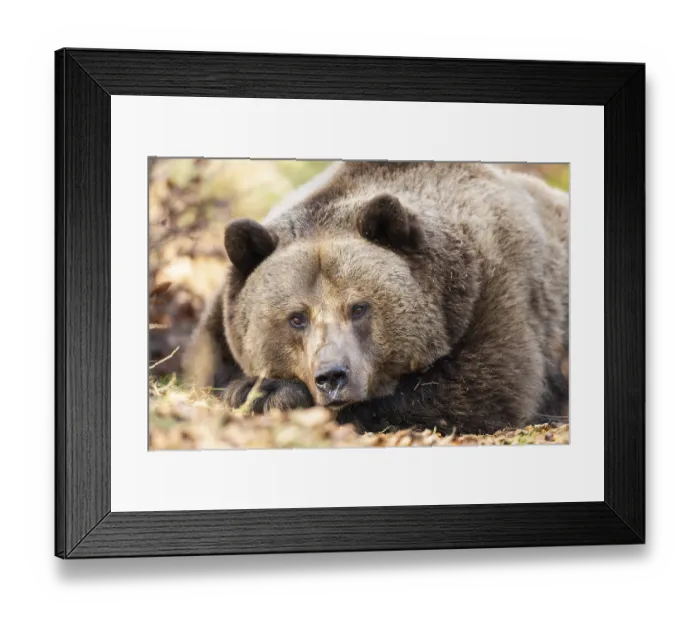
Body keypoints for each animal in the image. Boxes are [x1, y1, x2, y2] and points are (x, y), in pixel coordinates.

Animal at [183, 161, 569, 435]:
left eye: (358, 308)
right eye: (297, 317)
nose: (332, 376)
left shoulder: (488, 293)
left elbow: (484, 387)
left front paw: (274, 393)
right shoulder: (224, 316)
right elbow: (209, 365)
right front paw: (253, 390)